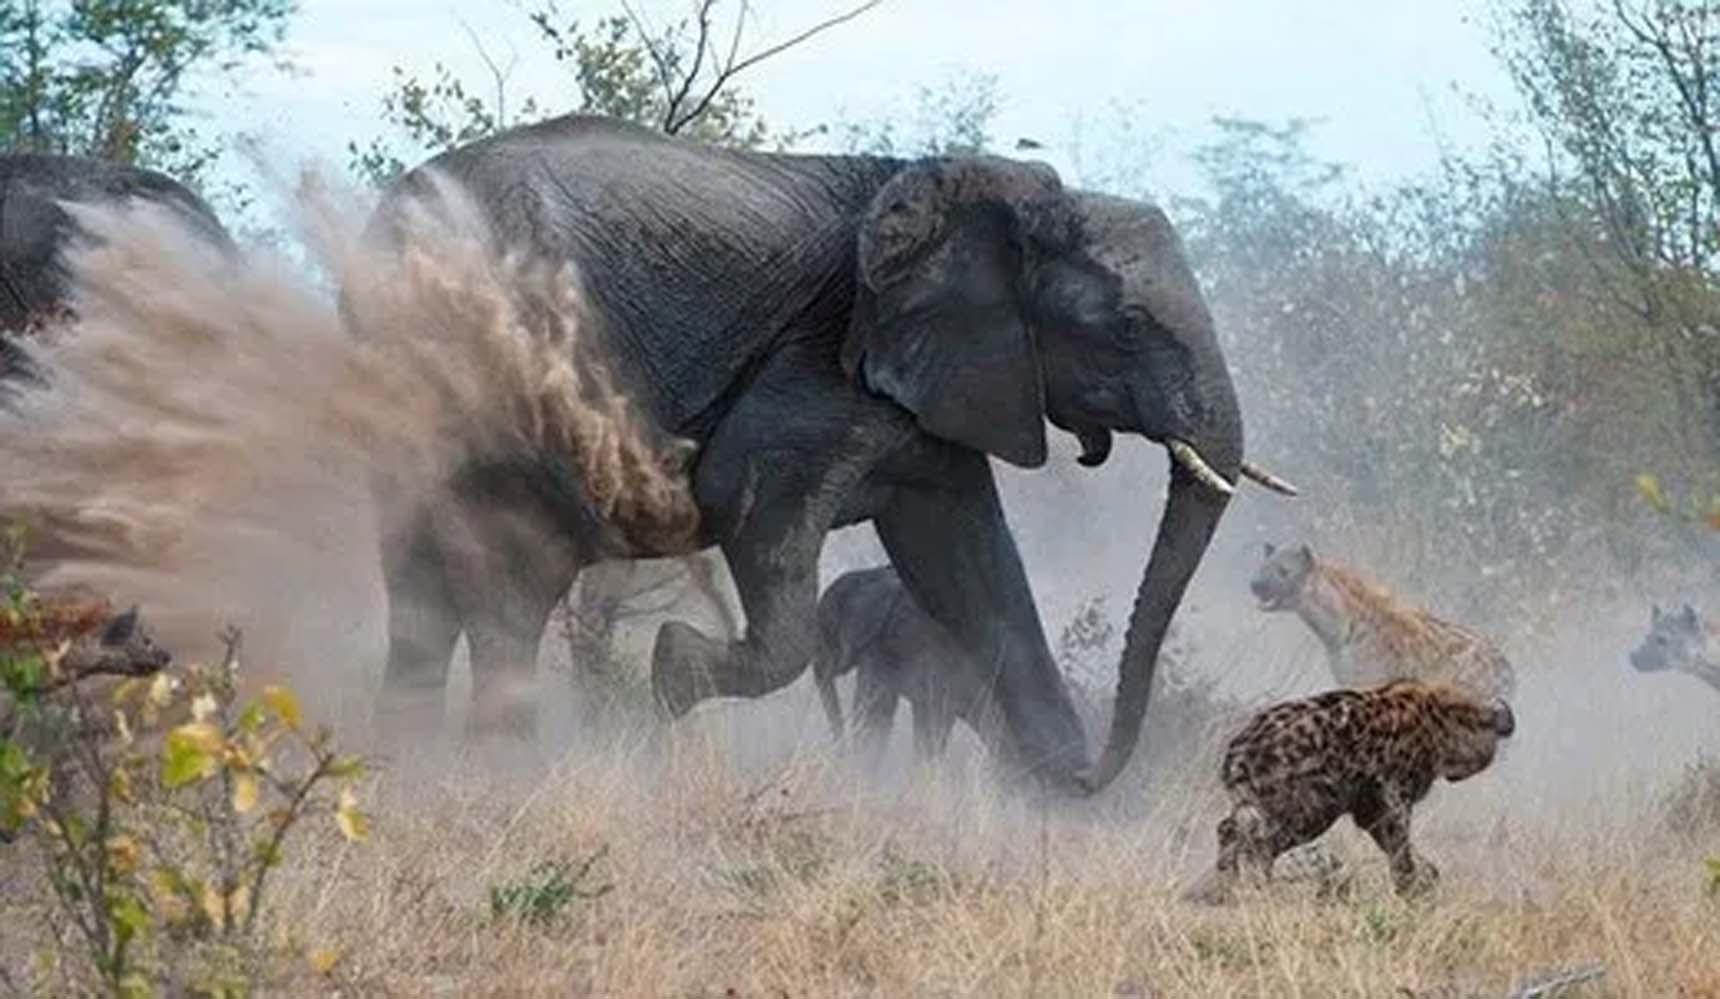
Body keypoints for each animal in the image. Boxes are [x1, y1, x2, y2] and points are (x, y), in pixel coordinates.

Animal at [1190, 677, 1513, 900]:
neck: (1438, 721)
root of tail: (1238, 750)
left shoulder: (1369, 806)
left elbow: (1398, 847)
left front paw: (1424, 879)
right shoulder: (1394, 794)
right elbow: (1400, 846)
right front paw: (1411, 887)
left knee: (1231, 829)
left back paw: (1226, 885)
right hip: (1307, 809)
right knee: (1254, 839)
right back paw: (1255, 886)